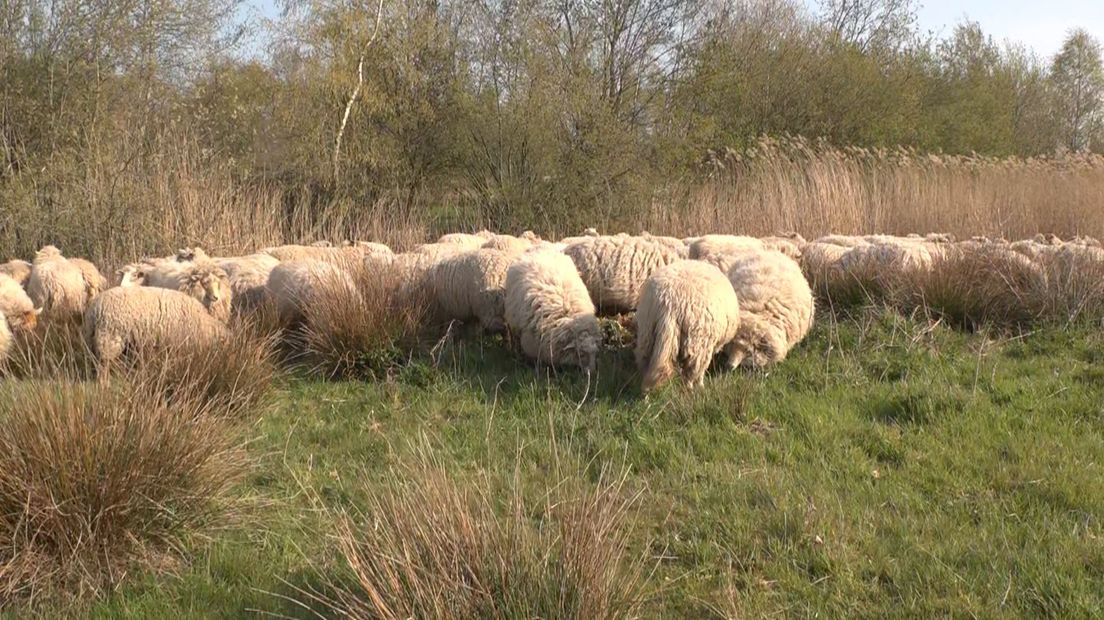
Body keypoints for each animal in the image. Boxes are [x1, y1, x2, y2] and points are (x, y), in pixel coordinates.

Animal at [635, 258, 737, 388]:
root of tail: (669, 302)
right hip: (698, 343)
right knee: (693, 371)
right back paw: (694, 388)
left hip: (647, 331)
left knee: (644, 360)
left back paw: (645, 389)